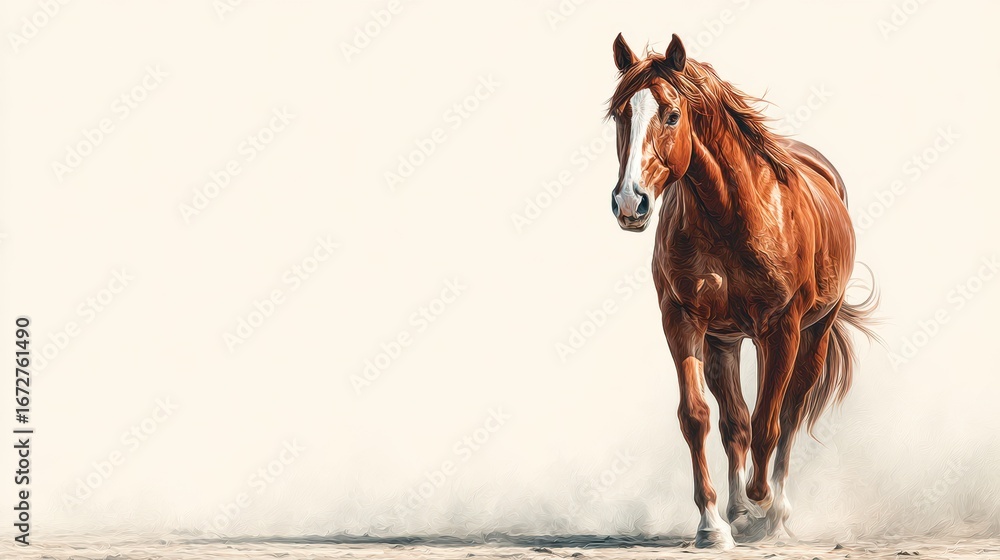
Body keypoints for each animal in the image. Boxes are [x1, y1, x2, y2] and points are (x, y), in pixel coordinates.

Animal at [606, 33, 877, 549]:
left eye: (672, 114)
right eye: (619, 114)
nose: (630, 202)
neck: (729, 214)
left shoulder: (781, 328)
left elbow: (769, 422)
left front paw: (761, 503)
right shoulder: (683, 321)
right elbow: (699, 417)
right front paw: (713, 524)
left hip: (811, 335)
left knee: (788, 414)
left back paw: (775, 513)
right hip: (725, 342)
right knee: (734, 422)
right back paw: (735, 511)